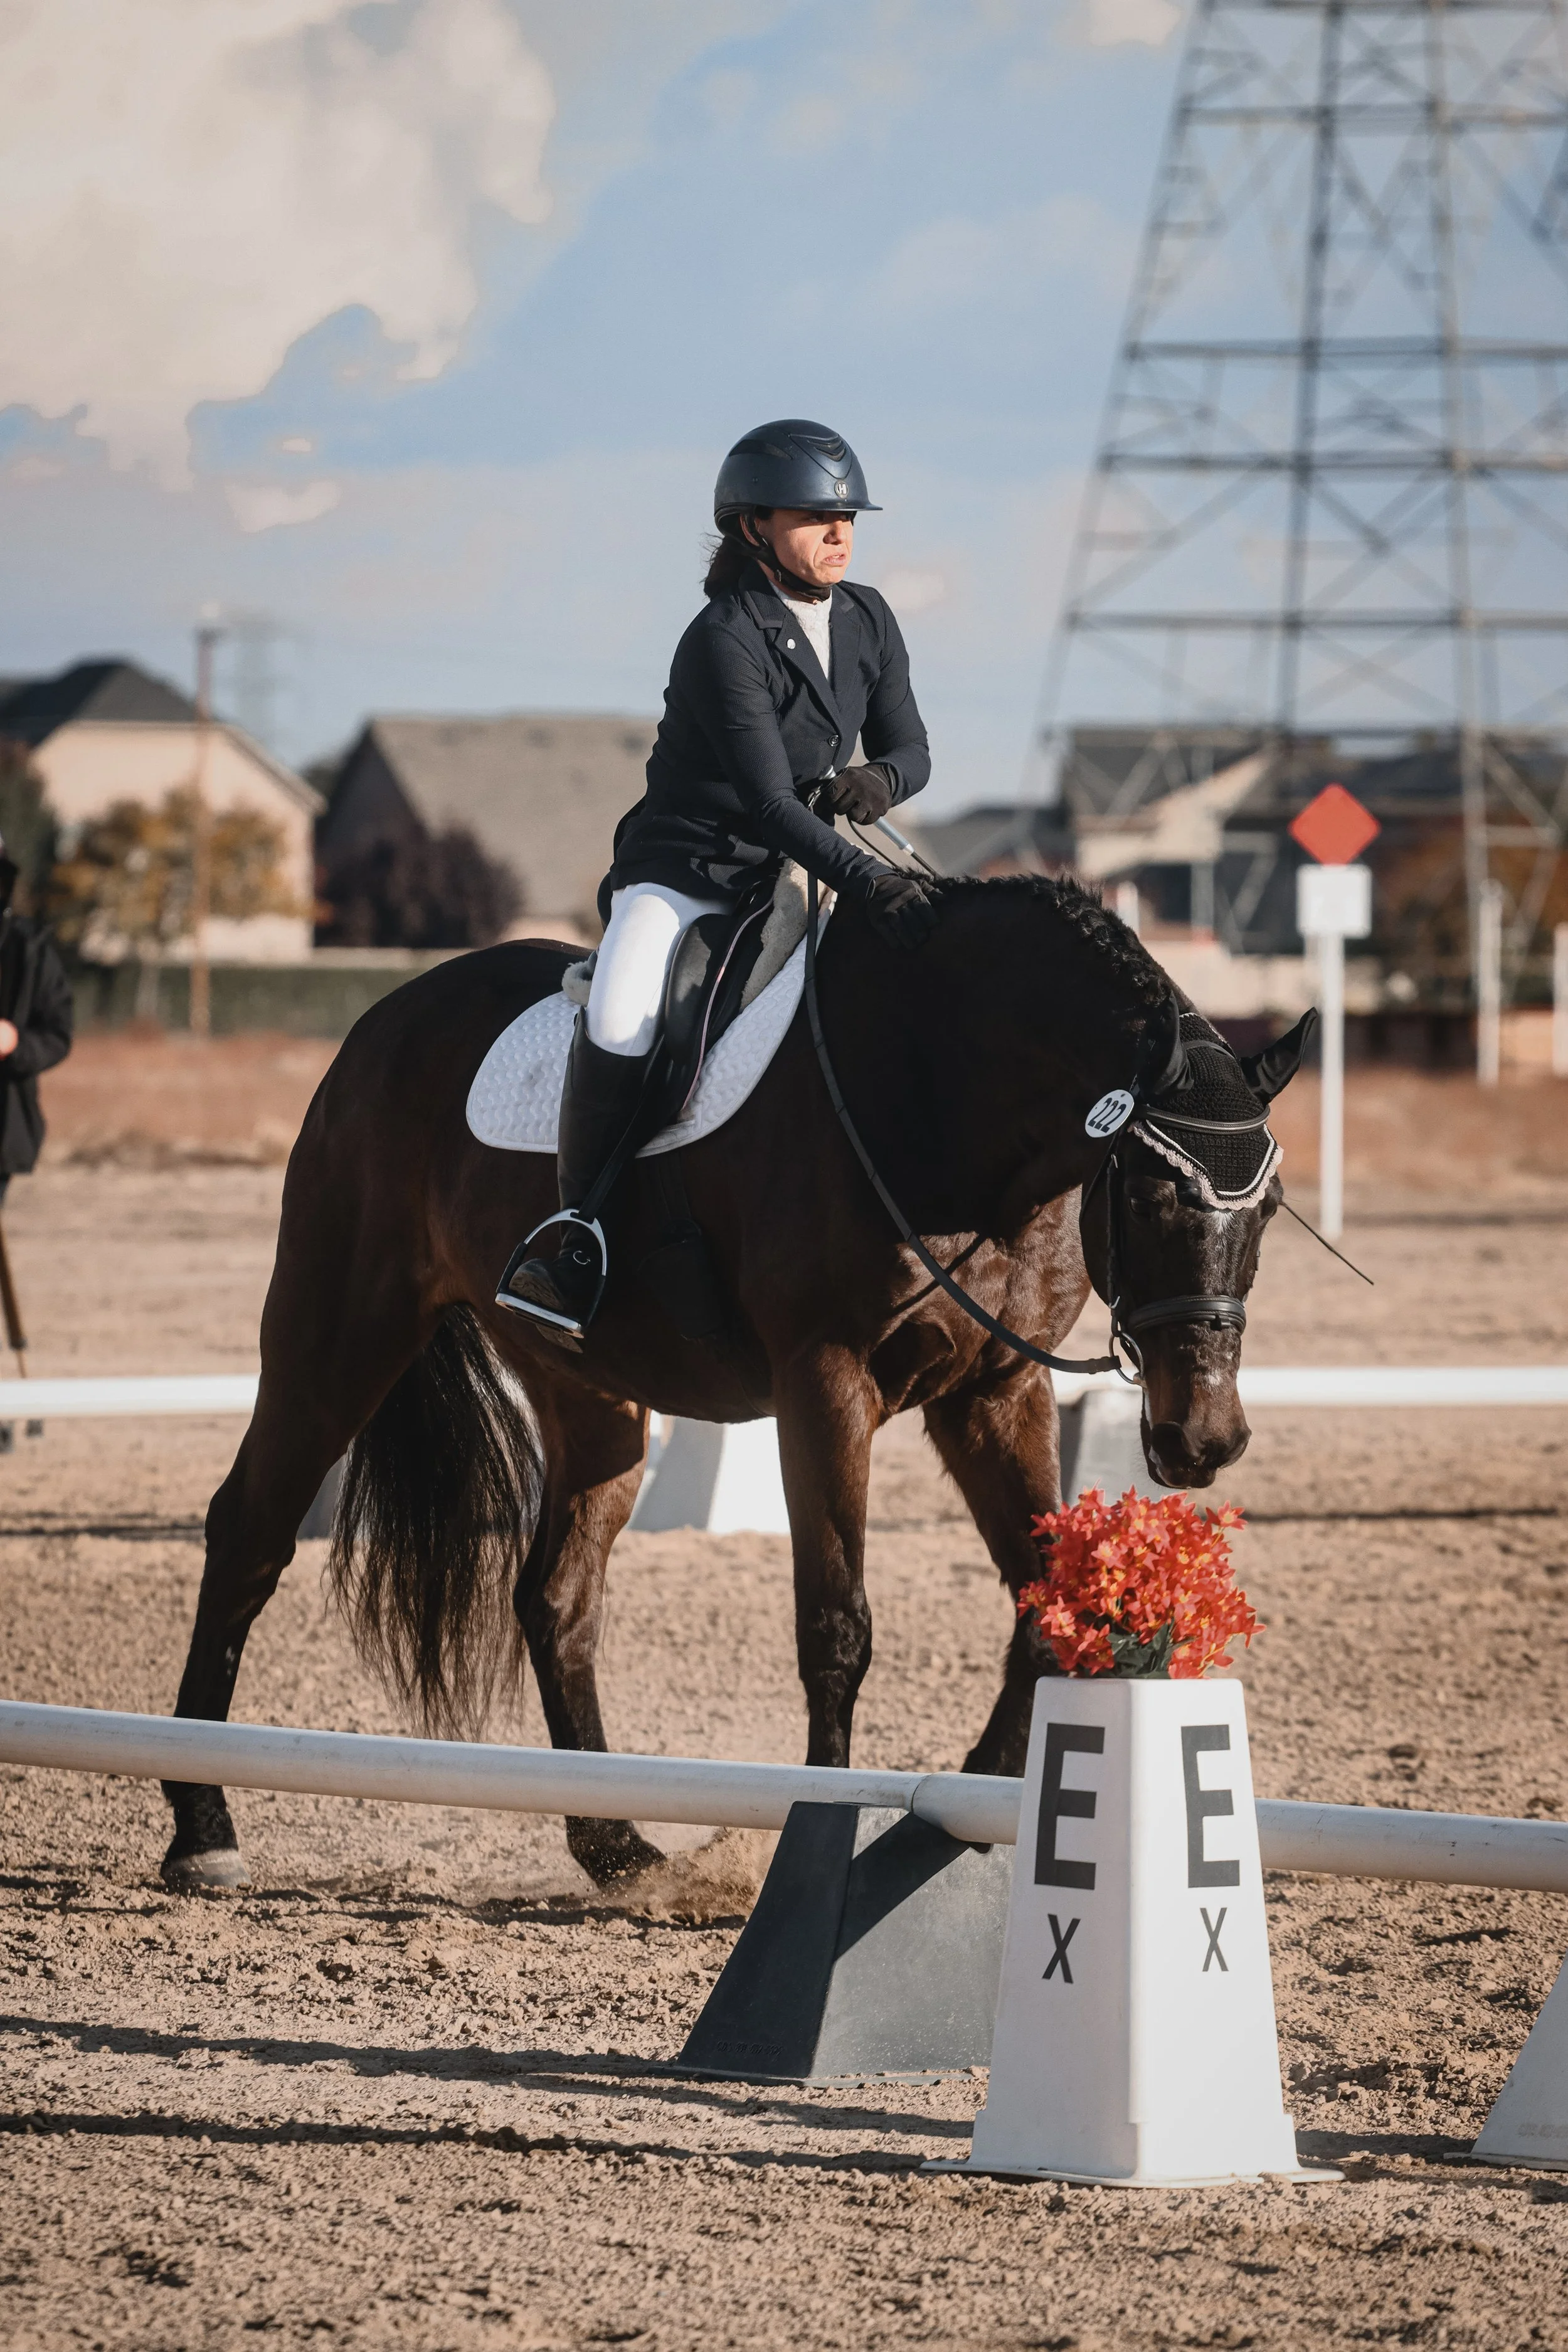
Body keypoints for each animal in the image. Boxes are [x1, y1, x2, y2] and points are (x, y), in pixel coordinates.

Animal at [159, 876, 1309, 1892]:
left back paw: (616, 1847)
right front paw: (825, 1833)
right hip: (338, 1335)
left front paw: (974, 1813)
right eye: (1152, 1194)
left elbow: (1052, 1600)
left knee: (554, 1597)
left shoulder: (995, 1390)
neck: (939, 1097)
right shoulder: (825, 1383)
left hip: (592, 1395)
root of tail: (384, 1020)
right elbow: (838, 1626)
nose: (1204, 1437)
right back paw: (202, 1827)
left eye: (1268, 1205)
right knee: (250, 1532)